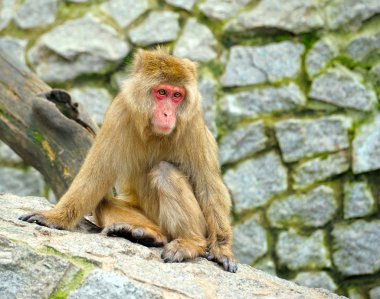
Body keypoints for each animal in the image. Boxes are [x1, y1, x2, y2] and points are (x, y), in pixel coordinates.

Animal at [20, 47, 238, 274]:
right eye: (162, 92)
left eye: (177, 95)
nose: (167, 114)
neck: (154, 132)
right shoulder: (119, 113)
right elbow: (95, 176)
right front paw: (55, 218)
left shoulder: (192, 123)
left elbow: (208, 187)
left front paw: (222, 248)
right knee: (103, 202)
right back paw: (149, 234)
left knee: (165, 171)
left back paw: (191, 242)